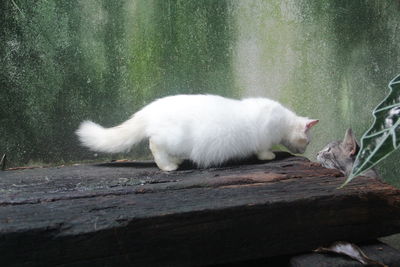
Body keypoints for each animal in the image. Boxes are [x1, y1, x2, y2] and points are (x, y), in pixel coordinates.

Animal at [76, 94, 318, 172]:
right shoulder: (264, 139)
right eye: (307, 141)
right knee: (155, 146)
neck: (283, 121)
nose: (306, 149)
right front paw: (269, 156)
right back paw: (169, 167)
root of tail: (150, 109)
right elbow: (264, 150)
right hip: (170, 139)